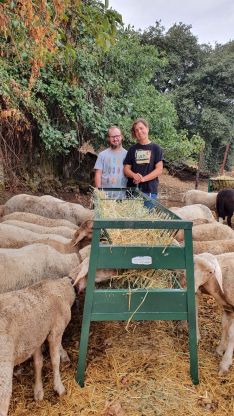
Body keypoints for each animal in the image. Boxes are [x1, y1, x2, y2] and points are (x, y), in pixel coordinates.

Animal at [0, 276, 75, 416]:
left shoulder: (37, 335)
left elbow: (38, 362)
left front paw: (38, 392)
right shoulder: (56, 329)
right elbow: (55, 360)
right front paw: (59, 387)